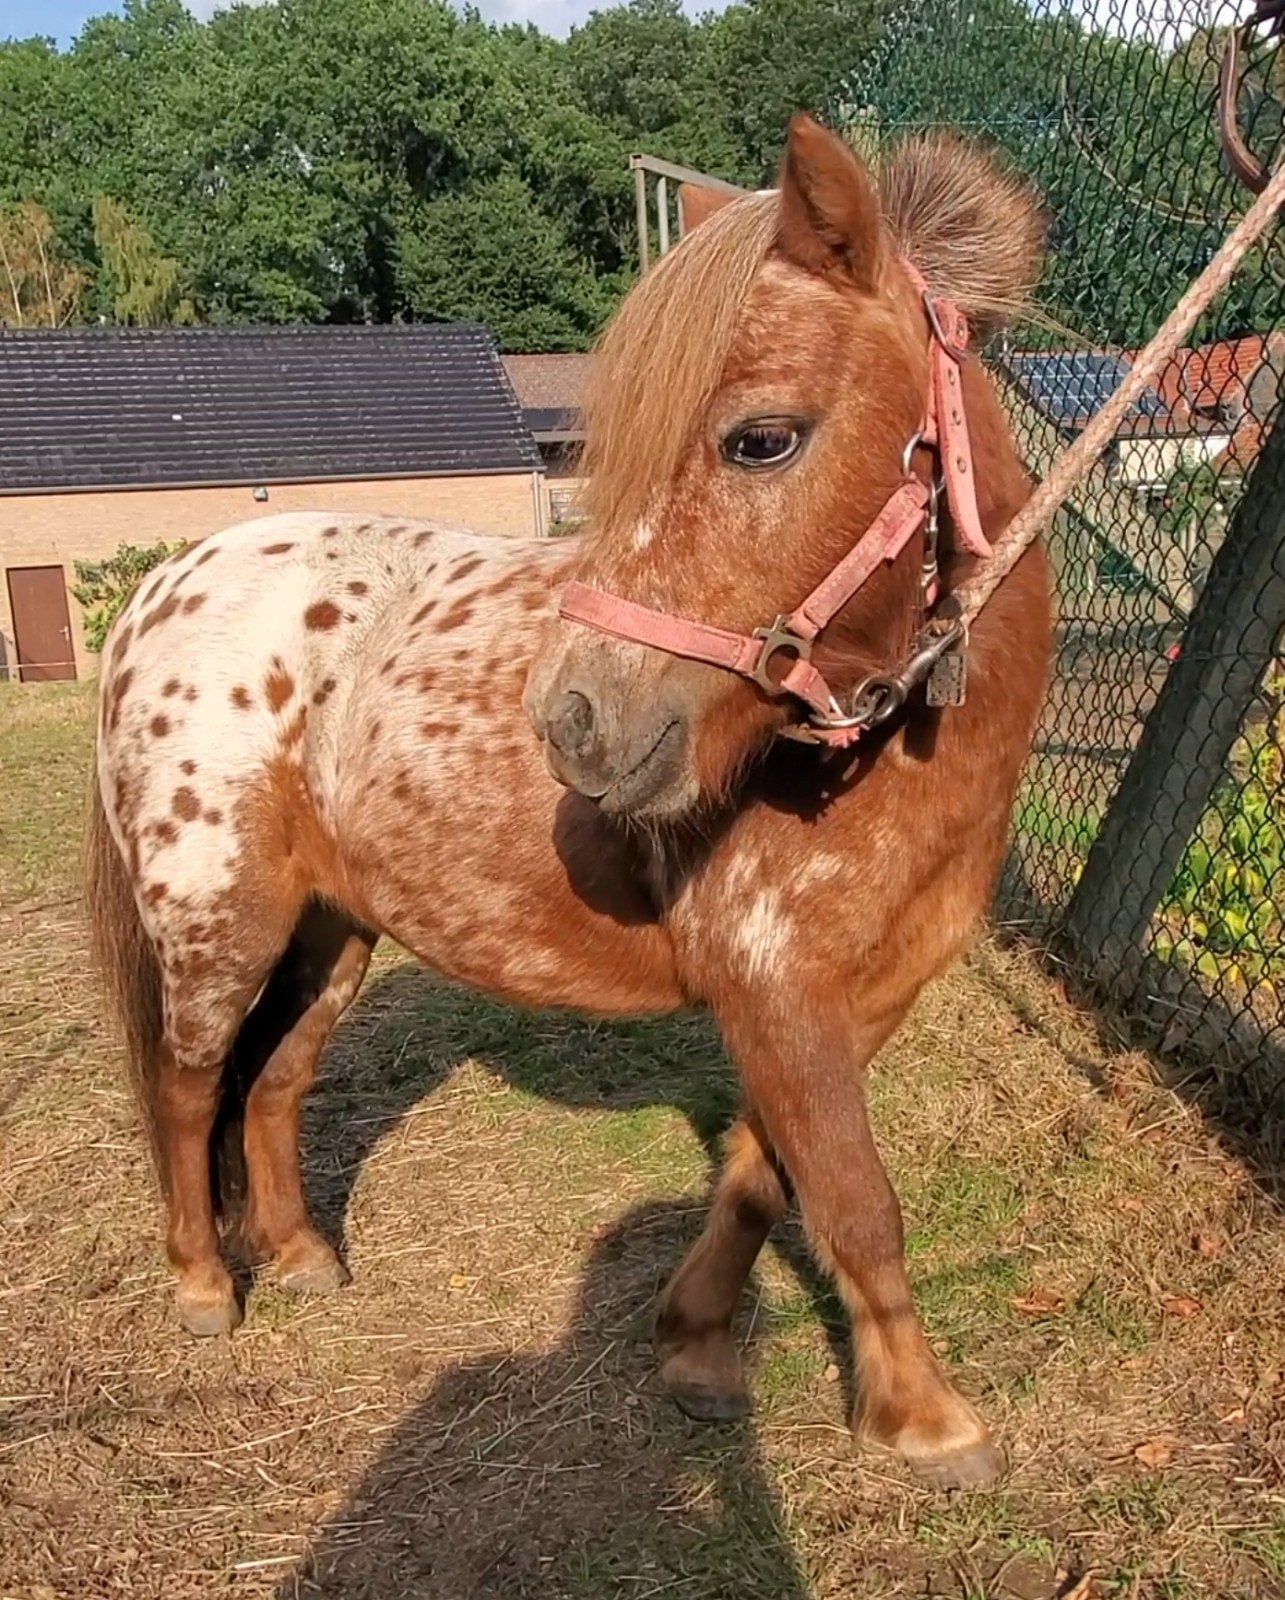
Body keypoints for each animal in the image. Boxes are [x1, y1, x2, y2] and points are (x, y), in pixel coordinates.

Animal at [86, 114, 1052, 1491]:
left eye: (761, 438)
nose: (577, 723)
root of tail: (165, 583)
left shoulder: (857, 999)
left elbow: (762, 1173)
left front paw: (696, 1346)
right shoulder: (779, 990)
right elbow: (856, 1200)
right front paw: (927, 1417)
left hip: (333, 929)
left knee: (272, 1082)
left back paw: (303, 1256)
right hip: (220, 922)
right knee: (186, 1086)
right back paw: (203, 1285)